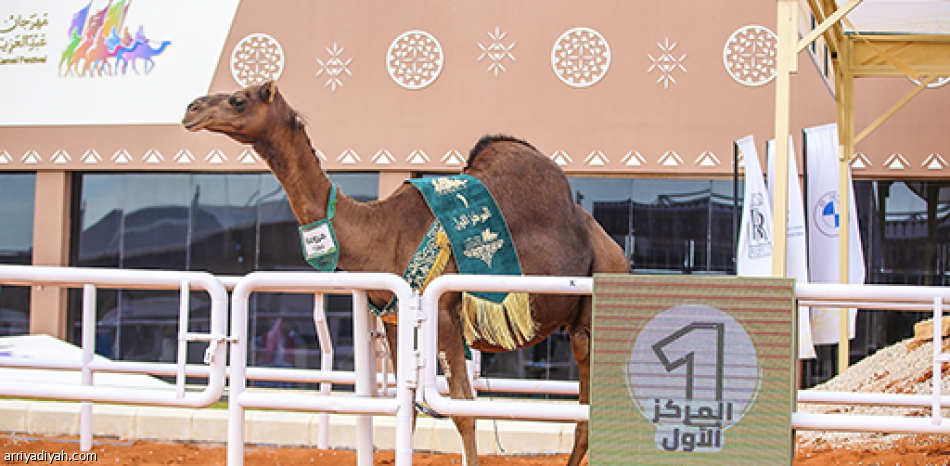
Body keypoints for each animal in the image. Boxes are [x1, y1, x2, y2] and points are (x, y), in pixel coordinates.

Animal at [185, 82, 632, 464]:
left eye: (239, 100)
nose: (192, 108)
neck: (379, 230)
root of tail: (616, 251)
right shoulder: (395, 316)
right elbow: (409, 410)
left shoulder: (447, 312)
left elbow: (463, 410)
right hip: (580, 325)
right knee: (587, 412)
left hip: (600, 303)